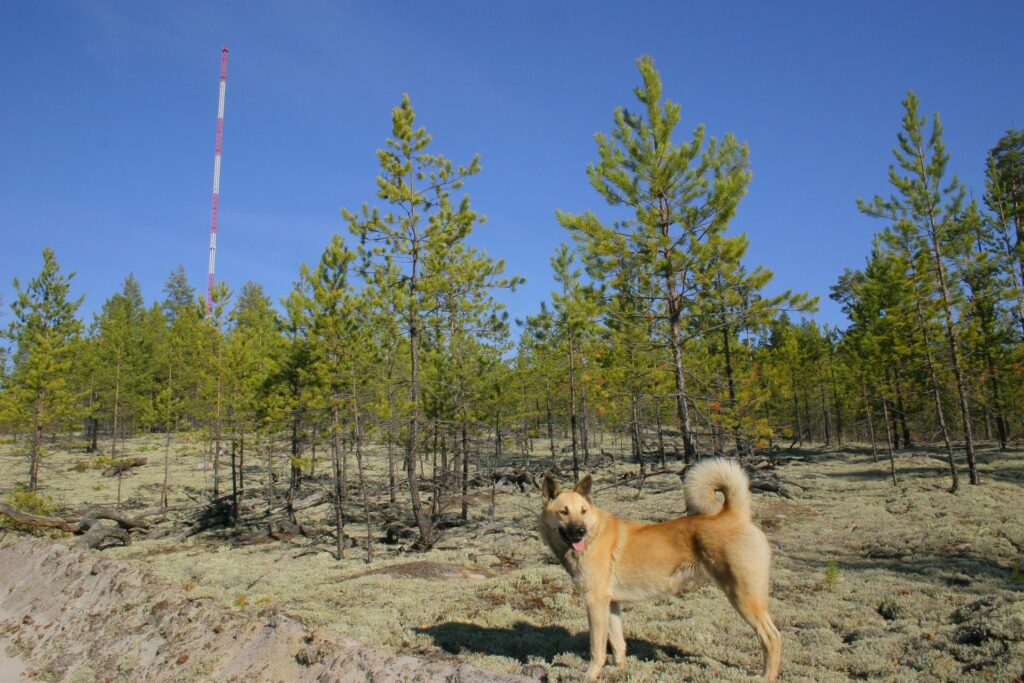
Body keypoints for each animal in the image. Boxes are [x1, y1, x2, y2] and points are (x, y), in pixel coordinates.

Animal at [540, 456, 778, 679]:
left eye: (583, 511)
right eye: (564, 511)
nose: (580, 531)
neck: (593, 535)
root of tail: (734, 514)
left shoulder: (595, 602)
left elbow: (597, 648)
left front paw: (589, 675)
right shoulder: (612, 604)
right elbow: (618, 644)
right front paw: (619, 670)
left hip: (743, 597)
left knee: (771, 637)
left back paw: (766, 676)